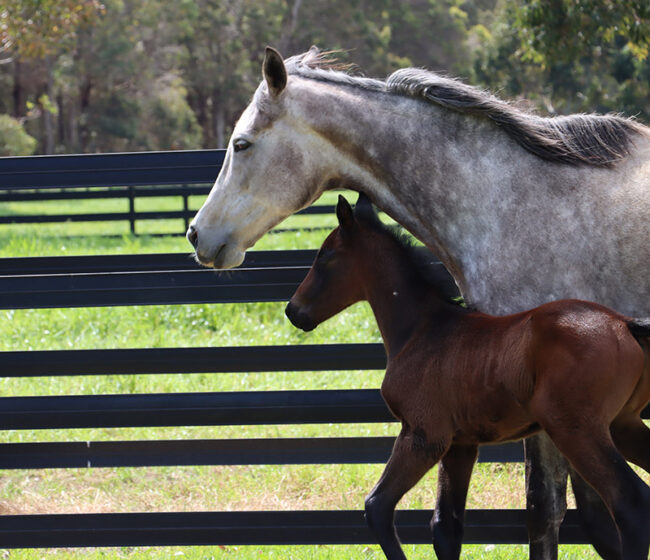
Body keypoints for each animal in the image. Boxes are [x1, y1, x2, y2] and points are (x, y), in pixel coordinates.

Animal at [285, 193, 650, 560]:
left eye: (324, 256)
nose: (293, 310)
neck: (422, 330)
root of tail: (624, 324)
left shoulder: (423, 435)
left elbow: (378, 506)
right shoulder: (460, 445)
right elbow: (446, 526)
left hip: (576, 430)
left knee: (631, 503)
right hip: (621, 425)